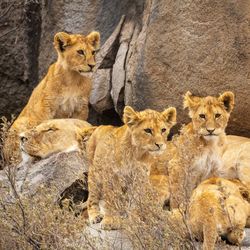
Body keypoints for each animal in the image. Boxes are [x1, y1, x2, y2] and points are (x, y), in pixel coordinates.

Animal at [3, 30, 100, 164]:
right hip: (23, 121)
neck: (73, 79)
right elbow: (41, 126)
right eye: (80, 52)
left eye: (93, 52)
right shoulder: (45, 106)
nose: (92, 65)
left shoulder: (81, 108)